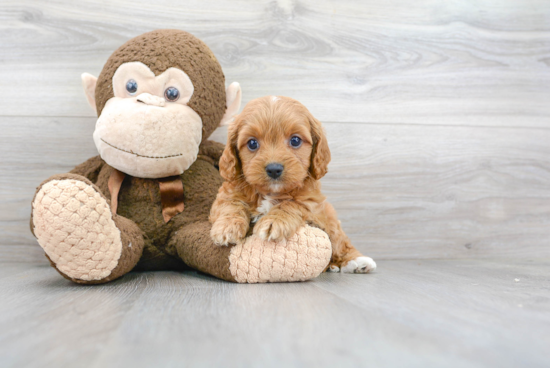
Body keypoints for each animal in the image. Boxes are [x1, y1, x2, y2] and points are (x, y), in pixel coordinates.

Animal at [209, 95, 378, 274]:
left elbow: (291, 204)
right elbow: (230, 205)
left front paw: (274, 221)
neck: (270, 193)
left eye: (295, 140)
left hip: (330, 218)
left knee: (340, 241)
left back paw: (357, 262)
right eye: (252, 143)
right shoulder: (226, 194)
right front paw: (226, 227)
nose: (274, 169)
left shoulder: (311, 203)